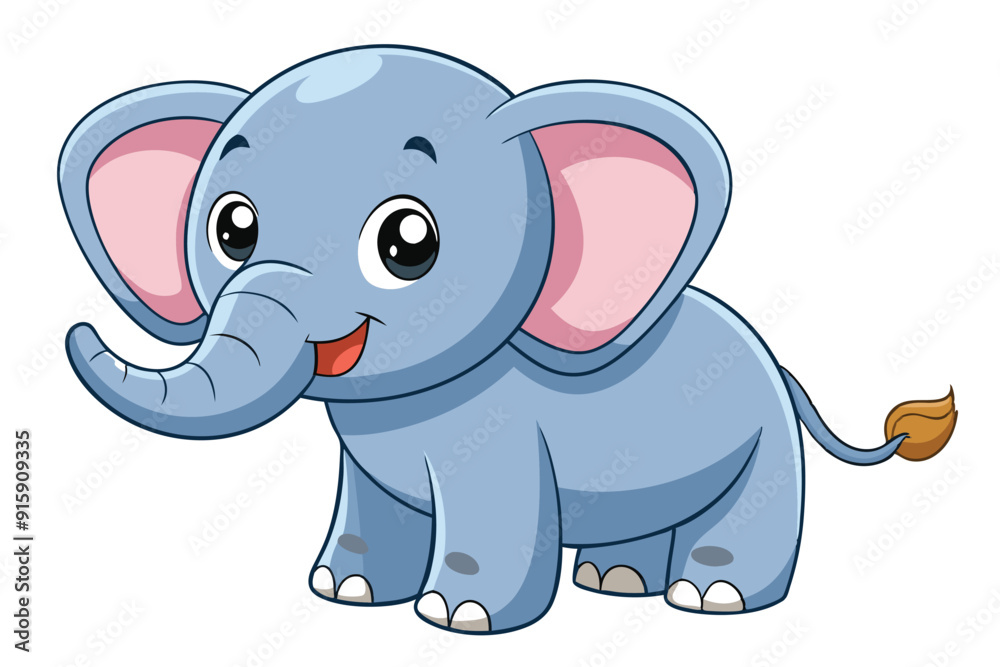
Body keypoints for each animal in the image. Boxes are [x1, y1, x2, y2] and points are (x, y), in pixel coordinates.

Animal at [60, 46, 957, 634]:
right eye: (231, 228)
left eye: (408, 243)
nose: (74, 329)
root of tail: (779, 361)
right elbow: (373, 503)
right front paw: (343, 591)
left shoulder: (502, 438)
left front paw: (458, 616)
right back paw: (615, 582)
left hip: (768, 443)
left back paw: (711, 599)